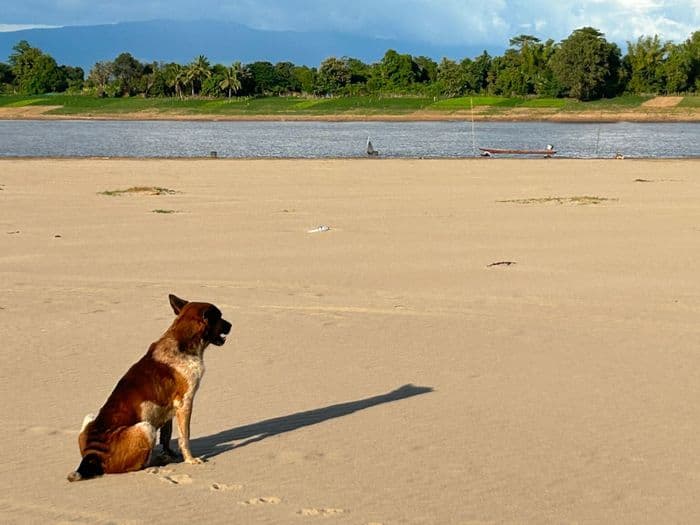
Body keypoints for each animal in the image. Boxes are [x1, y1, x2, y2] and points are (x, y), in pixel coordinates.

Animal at [66, 292, 231, 482]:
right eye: (220, 317)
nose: (231, 325)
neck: (182, 342)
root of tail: (93, 456)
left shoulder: (171, 408)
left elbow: (167, 436)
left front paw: (169, 454)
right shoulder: (185, 404)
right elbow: (185, 437)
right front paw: (189, 459)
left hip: (90, 417)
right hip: (146, 428)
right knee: (139, 465)